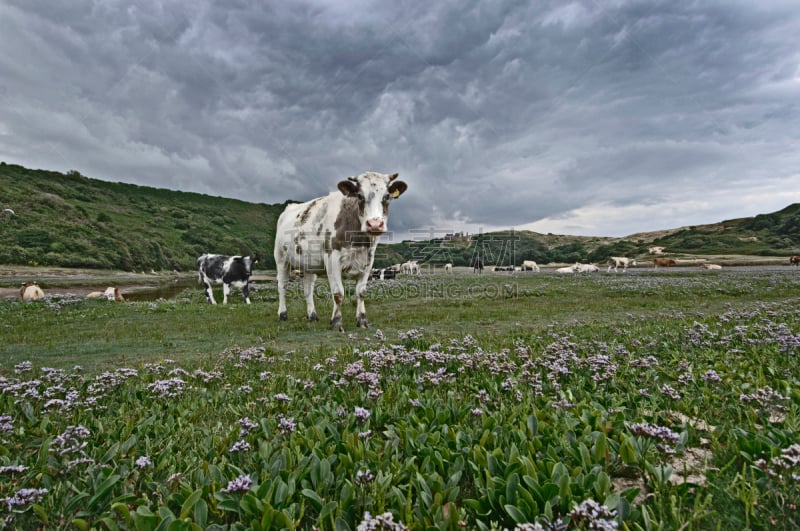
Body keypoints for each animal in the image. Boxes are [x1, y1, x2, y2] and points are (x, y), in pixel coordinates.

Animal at [276, 171, 412, 332]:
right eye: (359, 195)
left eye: (386, 196)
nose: (374, 224)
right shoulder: (332, 260)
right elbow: (338, 293)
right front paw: (336, 322)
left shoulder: (368, 261)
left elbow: (361, 292)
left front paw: (362, 321)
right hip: (281, 258)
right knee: (282, 285)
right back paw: (283, 314)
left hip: (308, 263)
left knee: (308, 287)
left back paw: (312, 316)